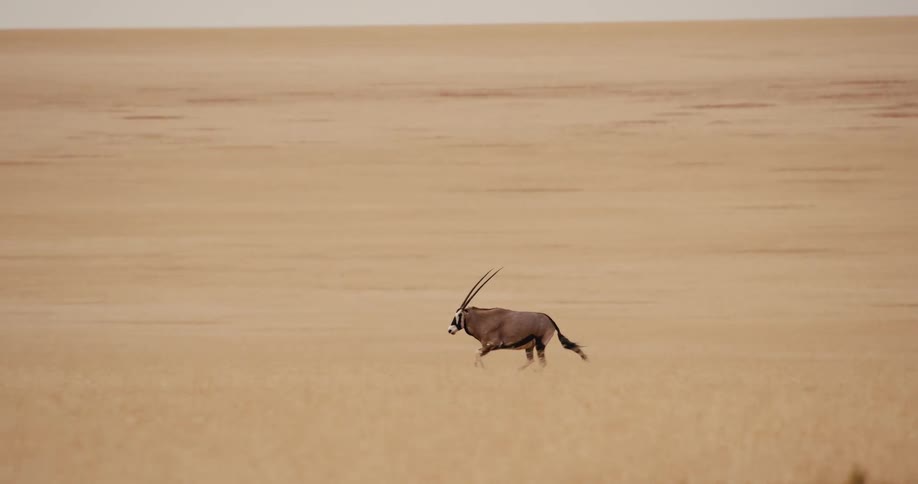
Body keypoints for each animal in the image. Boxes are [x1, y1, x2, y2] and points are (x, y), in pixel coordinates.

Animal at [447, 268, 588, 368]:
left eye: (459, 315)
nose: (450, 329)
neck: (483, 320)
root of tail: (550, 320)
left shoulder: (492, 345)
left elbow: (476, 353)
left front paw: (481, 368)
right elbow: (476, 354)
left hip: (540, 344)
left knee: (542, 363)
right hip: (530, 347)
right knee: (531, 361)